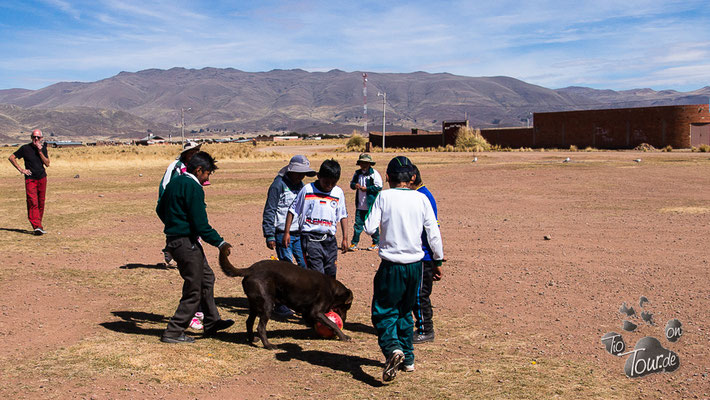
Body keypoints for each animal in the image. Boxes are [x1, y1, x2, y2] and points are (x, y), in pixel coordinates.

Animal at [220, 245, 354, 348]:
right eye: (347, 307)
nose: (344, 320)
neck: (333, 290)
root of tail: (250, 269)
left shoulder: (307, 313)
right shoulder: (315, 312)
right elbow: (332, 324)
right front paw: (344, 336)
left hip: (254, 304)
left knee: (249, 322)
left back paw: (252, 339)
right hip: (267, 304)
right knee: (260, 327)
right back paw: (268, 345)